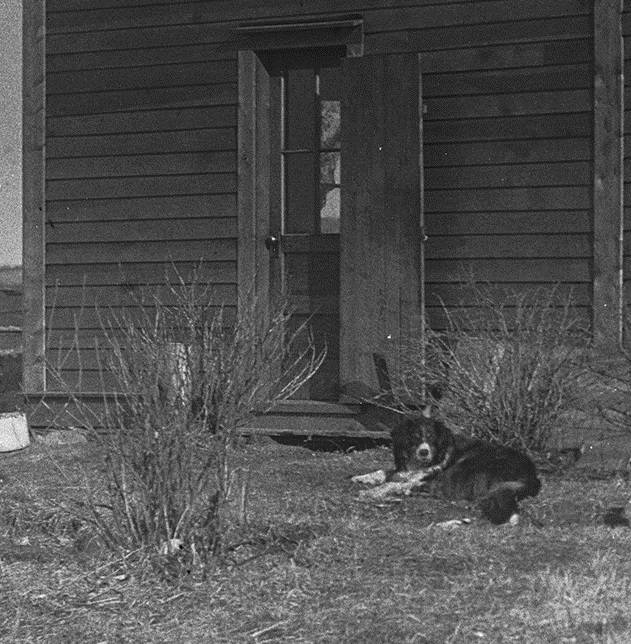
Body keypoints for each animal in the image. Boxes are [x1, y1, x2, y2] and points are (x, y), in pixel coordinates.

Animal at [356, 408, 544, 524]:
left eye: (431, 438)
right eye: (415, 437)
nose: (424, 452)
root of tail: (531, 475)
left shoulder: (428, 475)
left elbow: (392, 483)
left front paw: (372, 492)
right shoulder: (404, 471)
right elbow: (385, 472)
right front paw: (363, 477)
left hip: (465, 465)